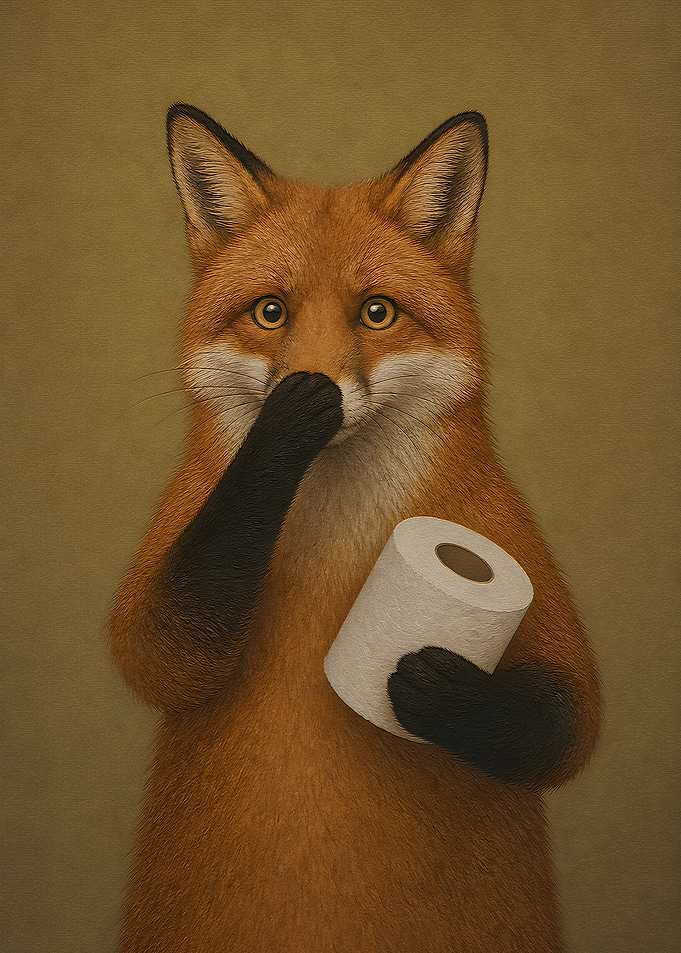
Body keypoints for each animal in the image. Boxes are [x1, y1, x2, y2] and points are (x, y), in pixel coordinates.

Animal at [108, 102, 602, 952]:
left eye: (377, 312)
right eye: (270, 312)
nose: (319, 387)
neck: (335, 539)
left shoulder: (519, 561)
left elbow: (567, 720)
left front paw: (439, 693)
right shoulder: (166, 593)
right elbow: (155, 651)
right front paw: (278, 433)